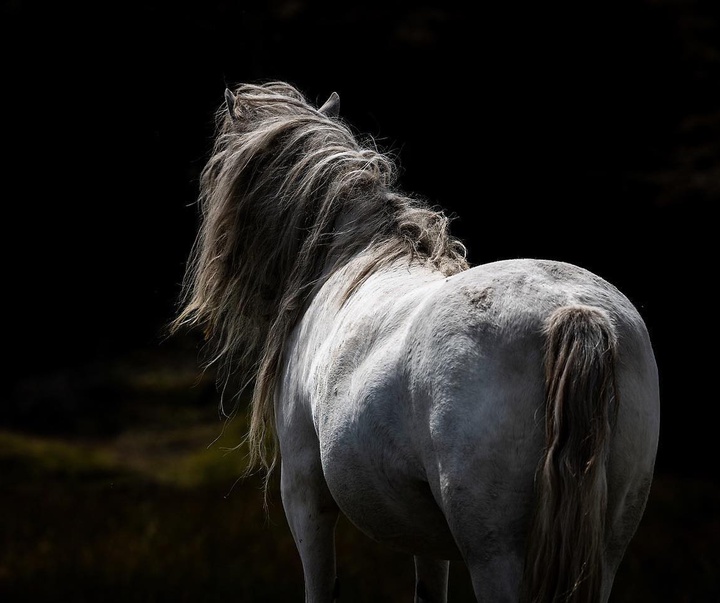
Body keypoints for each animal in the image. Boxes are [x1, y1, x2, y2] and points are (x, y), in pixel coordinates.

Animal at [172, 81, 660, 603]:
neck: (350, 259)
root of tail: (572, 309)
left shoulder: (303, 493)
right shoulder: (427, 537)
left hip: (496, 554)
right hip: (606, 545)